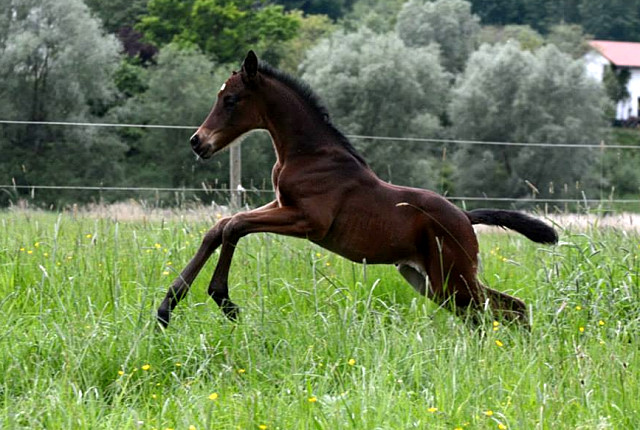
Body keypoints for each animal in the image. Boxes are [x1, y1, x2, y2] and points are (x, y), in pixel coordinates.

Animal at [158, 50, 556, 328]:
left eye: (231, 100)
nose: (197, 142)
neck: (309, 155)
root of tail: (465, 216)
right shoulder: (279, 205)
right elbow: (221, 226)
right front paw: (167, 307)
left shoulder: (308, 221)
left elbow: (236, 226)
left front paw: (223, 300)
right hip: (429, 281)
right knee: (497, 313)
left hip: (452, 280)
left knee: (508, 311)